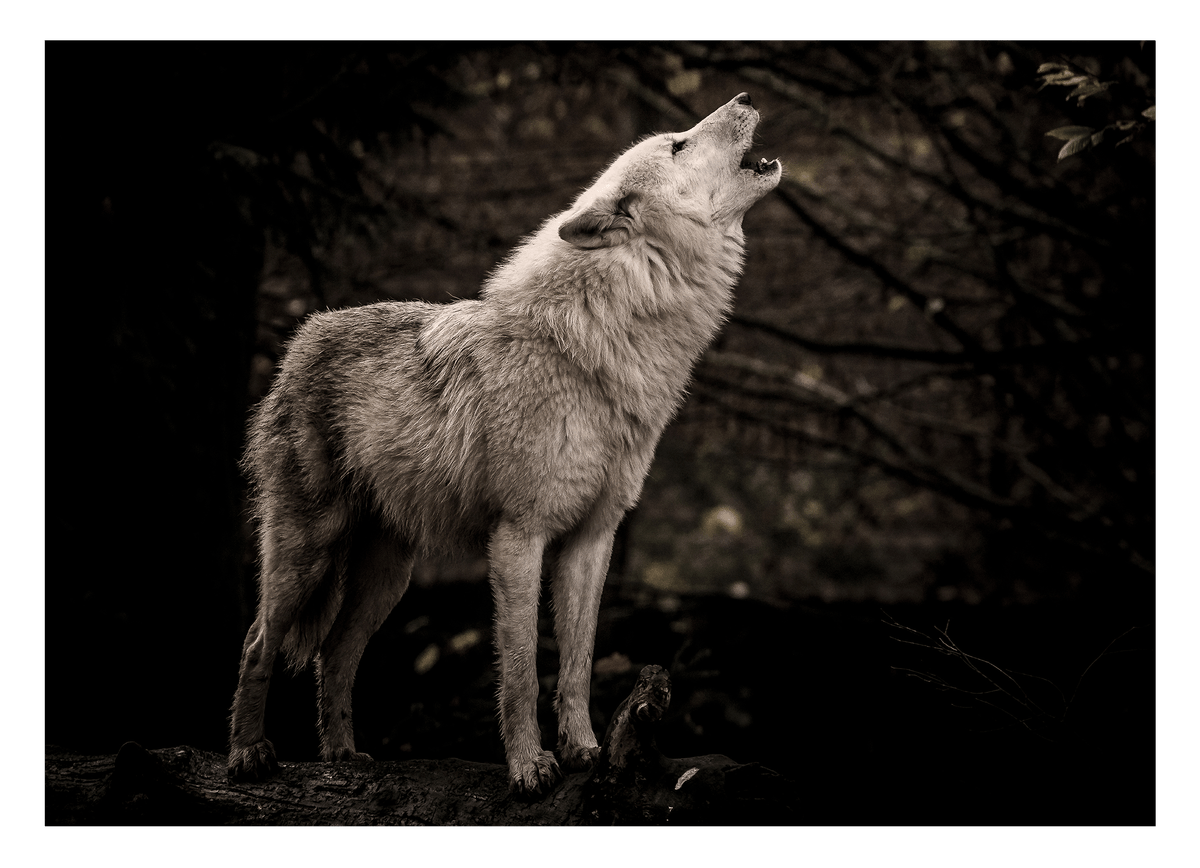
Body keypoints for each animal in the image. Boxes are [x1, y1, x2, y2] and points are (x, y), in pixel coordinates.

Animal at [227, 92, 782, 797]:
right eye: (678, 144)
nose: (744, 97)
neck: (598, 349)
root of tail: (304, 335)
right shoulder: (520, 536)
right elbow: (519, 670)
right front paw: (528, 768)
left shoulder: (592, 539)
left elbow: (576, 664)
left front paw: (586, 752)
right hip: (307, 550)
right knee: (258, 641)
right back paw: (248, 753)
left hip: (390, 575)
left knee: (335, 651)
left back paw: (342, 756)